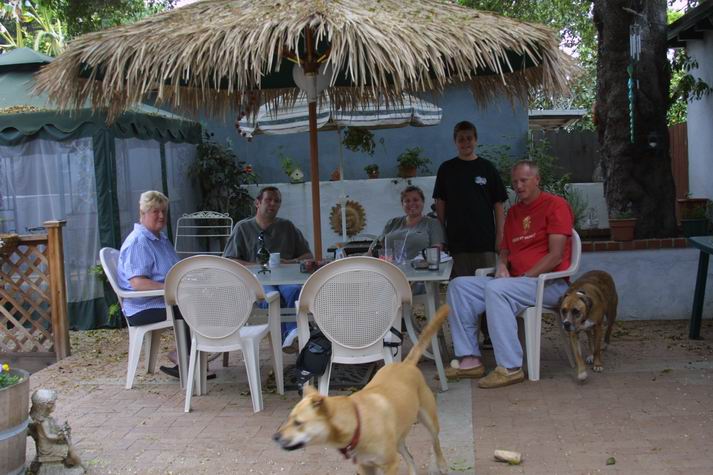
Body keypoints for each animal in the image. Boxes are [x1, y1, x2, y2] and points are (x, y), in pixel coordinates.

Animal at [273, 305, 450, 475]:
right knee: (410, 457)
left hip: (429, 420)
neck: (357, 421)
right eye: (289, 418)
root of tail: (406, 364)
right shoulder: (365, 466)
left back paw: (442, 464)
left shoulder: (390, 464)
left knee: (436, 442)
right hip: (398, 438)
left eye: (298, 423)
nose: (275, 436)